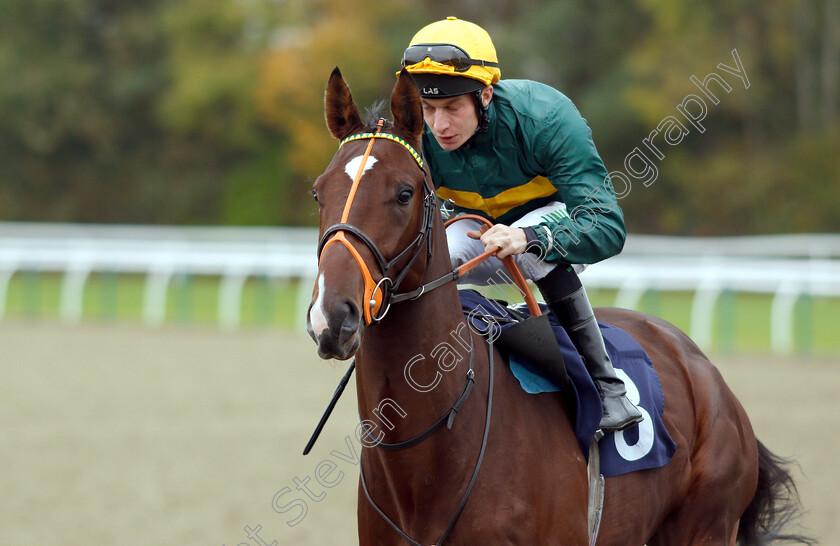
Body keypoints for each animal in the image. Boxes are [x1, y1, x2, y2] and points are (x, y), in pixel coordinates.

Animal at [306, 68, 812, 544]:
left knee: (546, 259)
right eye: (318, 192)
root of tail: (705, 370)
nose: (333, 315)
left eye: (404, 193)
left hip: (706, 523)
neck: (429, 459)